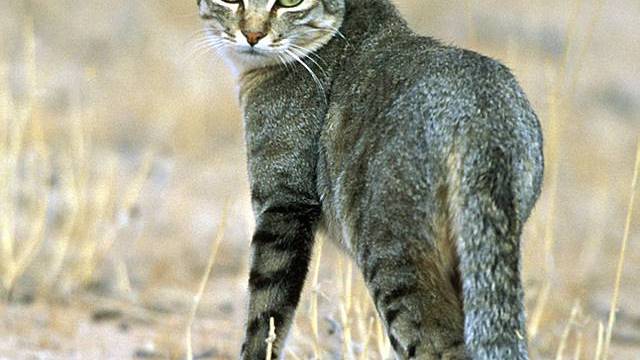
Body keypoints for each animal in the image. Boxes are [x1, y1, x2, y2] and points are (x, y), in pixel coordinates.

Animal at [196, 0, 544, 358]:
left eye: (291, 3)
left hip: (393, 256)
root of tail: (479, 112)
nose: (252, 34)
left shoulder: (283, 202)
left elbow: (265, 315)